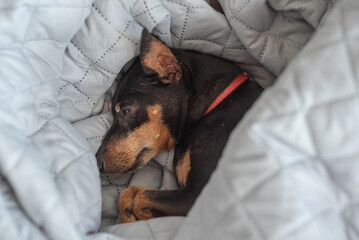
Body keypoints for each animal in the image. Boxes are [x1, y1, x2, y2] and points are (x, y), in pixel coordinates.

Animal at [97, 29, 262, 223]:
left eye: (126, 111)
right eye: (111, 112)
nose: (97, 163)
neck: (218, 102)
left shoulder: (198, 195)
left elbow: (139, 197)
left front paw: (135, 217)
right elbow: (130, 193)